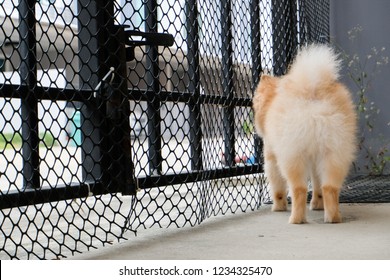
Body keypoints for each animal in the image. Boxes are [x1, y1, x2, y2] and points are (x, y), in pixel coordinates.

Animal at [253, 43, 356, 223]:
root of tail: (312, 91)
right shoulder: (315, 160)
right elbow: (317, 186)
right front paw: (317, 204)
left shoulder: (271, 156)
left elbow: (278, 188)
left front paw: (278, 207)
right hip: (334, 153)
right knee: (329, 187)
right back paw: (333, 217)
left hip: (292, 154)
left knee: (298, 189)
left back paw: (296, 219)